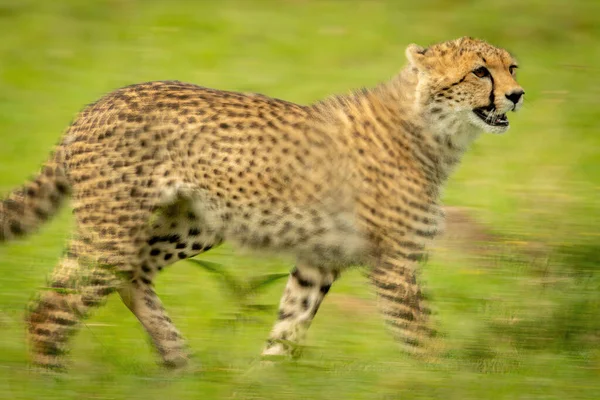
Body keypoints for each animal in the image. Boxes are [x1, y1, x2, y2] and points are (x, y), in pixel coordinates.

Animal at [0, 36, 524, 368]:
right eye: (480, 71)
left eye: (511, 67)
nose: (518, 94)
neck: (435, 130)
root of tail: (95, 103)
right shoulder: (394, 263)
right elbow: (421, 338)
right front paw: (440, 379)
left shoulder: (320, 258)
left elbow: (290, 325)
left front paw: (269, 378)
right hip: (114, 229)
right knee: (51, 305)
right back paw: (53, 378)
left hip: (192, 225)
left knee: (130, 278)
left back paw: (180, 362)